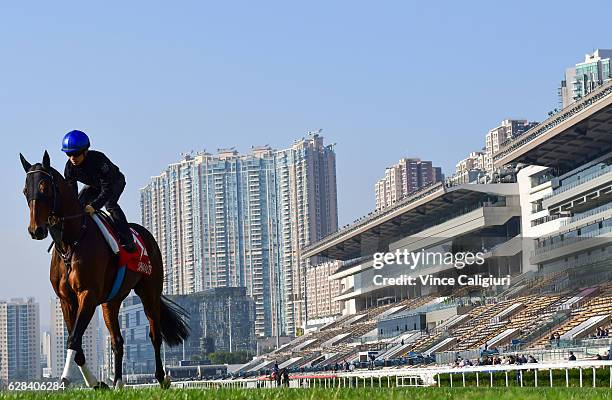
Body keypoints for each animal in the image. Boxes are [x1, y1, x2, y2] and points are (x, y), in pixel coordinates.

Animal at [20, 152, 189, 390]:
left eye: (44, 188)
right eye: (26, 190)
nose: (36, 230)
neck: (71, 243)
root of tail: (146, 235)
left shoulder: (88, 295)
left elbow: (74, 339)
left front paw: (67, 379)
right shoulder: (66, 300)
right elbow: (77, 343)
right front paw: (97, 383)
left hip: (150, 292)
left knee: (155, 334)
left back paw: (162, 377)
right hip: (112, 301)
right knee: (117, 340)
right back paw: (117, 383)